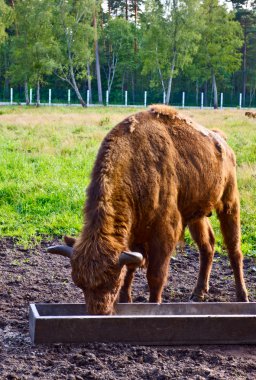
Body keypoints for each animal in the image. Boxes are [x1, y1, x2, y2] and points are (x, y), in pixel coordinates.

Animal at [47, 104, 248, 314]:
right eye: (80, 284)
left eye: (112, 282)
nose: (100, 312)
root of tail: (221, 141)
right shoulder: (133, 234)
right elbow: (131, 267)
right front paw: (126, 300)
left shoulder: (165, 233)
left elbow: (155, 275)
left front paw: (152, 304)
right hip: (197, 215)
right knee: (207, 245)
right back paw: (198, 293)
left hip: (229, 202)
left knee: (234, 249)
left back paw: (242, 296)